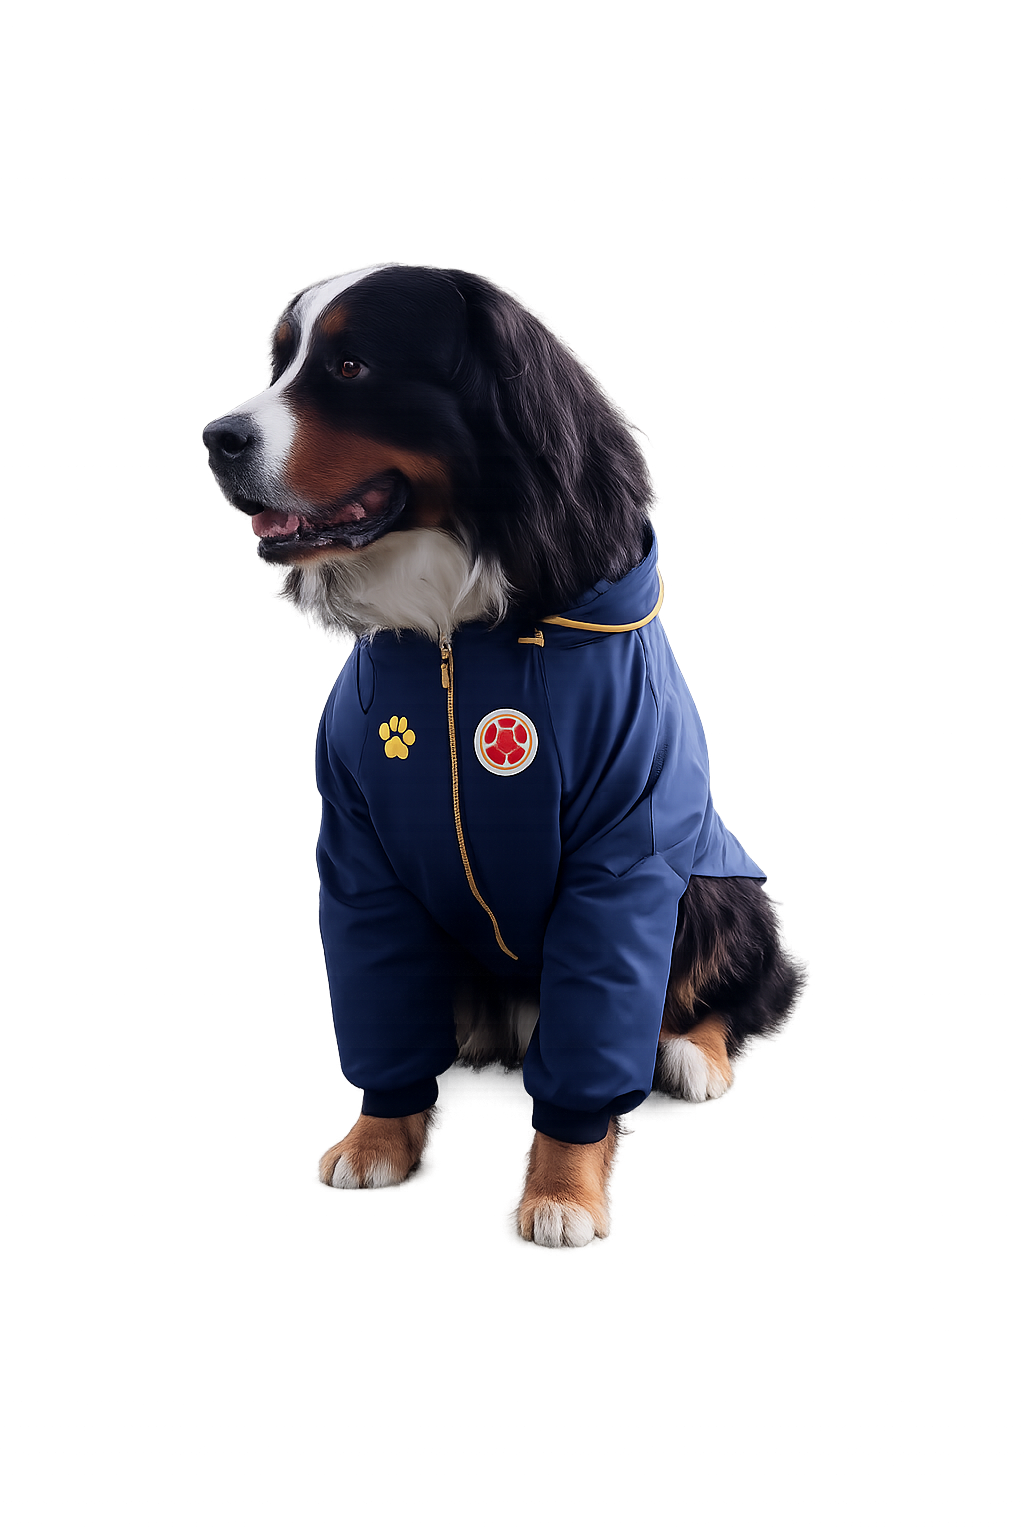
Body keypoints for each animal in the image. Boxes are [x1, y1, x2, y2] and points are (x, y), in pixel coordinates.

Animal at [203, 265, 803, 1247]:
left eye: (351, 366)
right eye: (279, 363)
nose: (216, 439)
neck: (455, 630)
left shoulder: (622, 858)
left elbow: (598, 1036)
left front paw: (564, 1188)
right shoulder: (361, 862)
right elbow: (380, 1008)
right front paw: (376, 1135)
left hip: (711, 887)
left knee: (742, 985)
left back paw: (690, 1053)